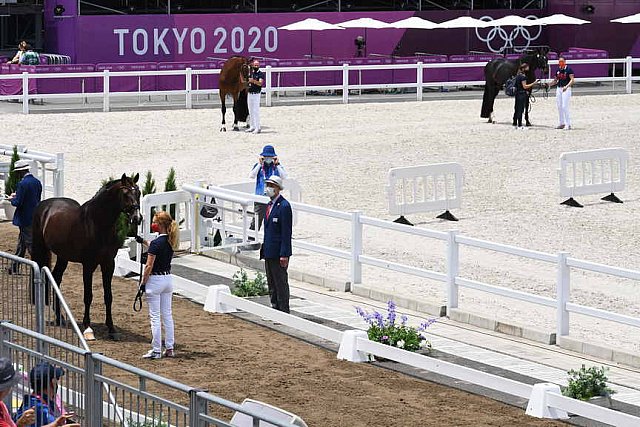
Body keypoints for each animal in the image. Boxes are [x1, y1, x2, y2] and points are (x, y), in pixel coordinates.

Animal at [31, 175, 141, 342]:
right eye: (125, 194)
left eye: (139, 193)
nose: (137, 218)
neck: (97, 223)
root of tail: (45, 205)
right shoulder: (88, 265)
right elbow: (88, 296)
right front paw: (88, 328)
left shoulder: (108, 264)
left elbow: (108, 296)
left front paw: (112, 329)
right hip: (40, 249)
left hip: (63, 256)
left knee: (56, 278)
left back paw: (60, 318)